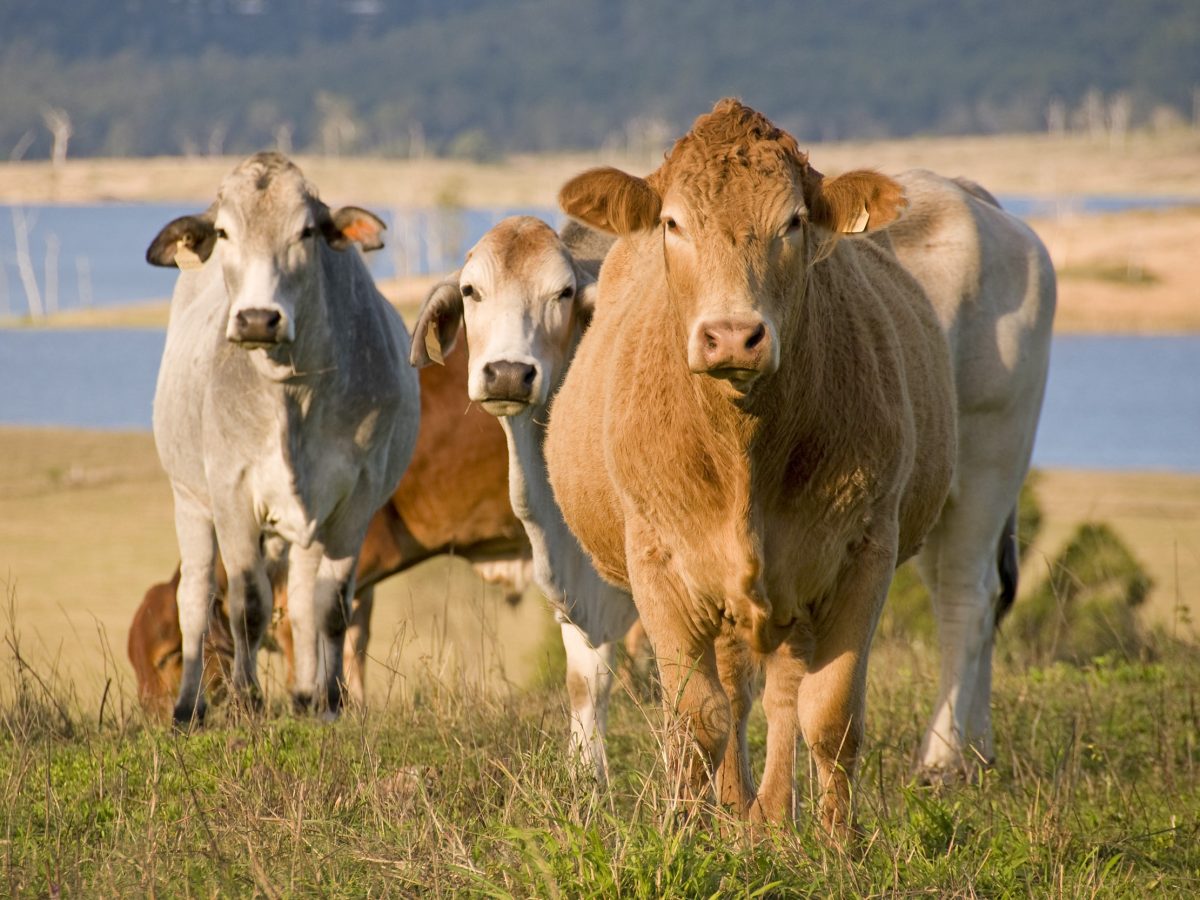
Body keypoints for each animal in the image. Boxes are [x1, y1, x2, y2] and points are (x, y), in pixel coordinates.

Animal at [147, 148, 420, 724]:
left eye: (306, 231)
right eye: (223, 232)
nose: (256, 318)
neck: (293, 398)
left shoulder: (354, 498)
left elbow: (330, 605)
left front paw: (331, 700)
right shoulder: (232, 494)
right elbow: (247, 604)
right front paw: (247, 701)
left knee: (300, 599)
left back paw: (304, 695)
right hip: (189, 500)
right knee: (196, 598)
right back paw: (188, 706)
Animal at [547, 100, 955, 840]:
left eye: (792, 222)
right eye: (673, 222)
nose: (733, 335)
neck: (743, 454)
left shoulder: (864, 552)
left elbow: (830, 715)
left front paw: (836, 844)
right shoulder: (658, 564)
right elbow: (698, 716)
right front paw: (687, 834)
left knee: (783, 696)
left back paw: (769, 818)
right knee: (733, 695)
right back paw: (738, 813)